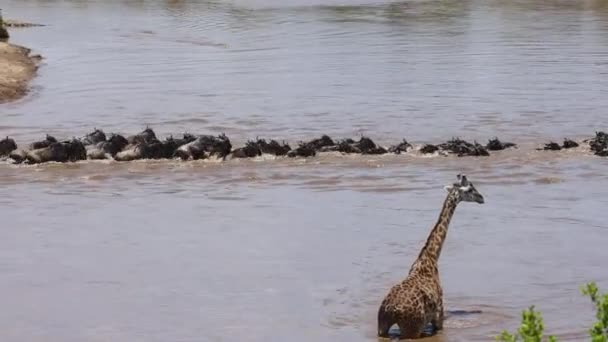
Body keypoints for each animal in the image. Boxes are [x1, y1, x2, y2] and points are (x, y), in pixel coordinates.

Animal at [376, 175, 484, 338]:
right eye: (470, 189)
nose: (482, 198)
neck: (431, 257)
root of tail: (391, 310)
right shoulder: (439, 315)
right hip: (411, 328)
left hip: (382, 326)